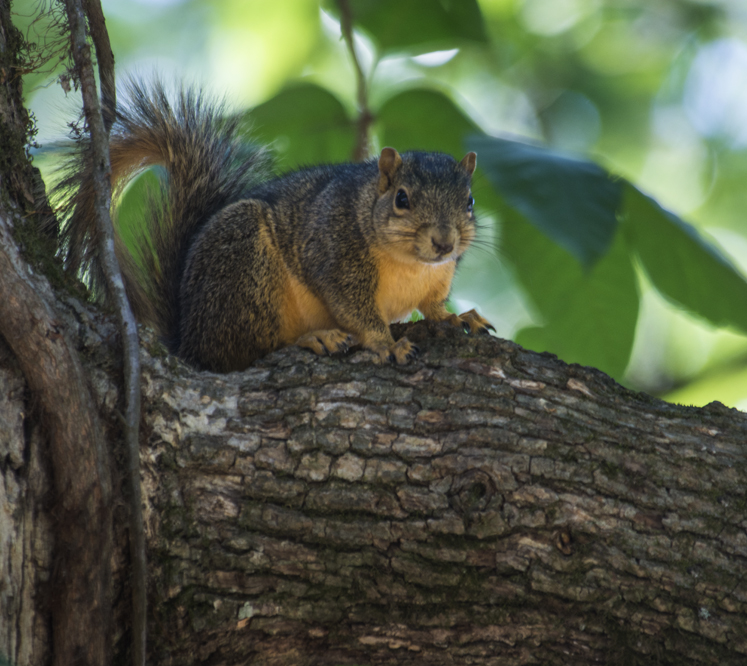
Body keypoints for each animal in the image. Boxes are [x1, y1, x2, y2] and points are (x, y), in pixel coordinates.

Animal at [55, 80, 494, 370]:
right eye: (402, 199)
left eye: (470, 202)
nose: (445, 242)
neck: (411, 264)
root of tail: (188, 336)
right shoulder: (335, 256)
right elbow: (355, 310)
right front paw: (386, 343)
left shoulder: (438, 279)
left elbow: (433, 306)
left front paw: (456, 317)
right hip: (244, 269)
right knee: (247, 349)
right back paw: (314, 337)